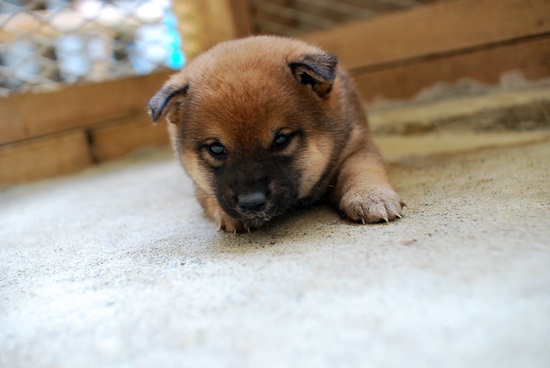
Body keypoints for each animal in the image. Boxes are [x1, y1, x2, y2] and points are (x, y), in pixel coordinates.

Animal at [149, 35, 404, 233]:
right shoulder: (199, 185)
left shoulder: (357, 147)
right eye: (217, 149)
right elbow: (208, 194)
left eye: (281, 139)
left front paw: (372, 196)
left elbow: (361, 171)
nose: (251, 203)